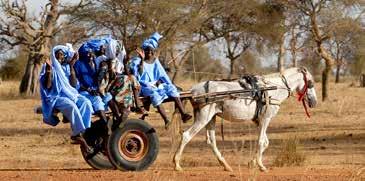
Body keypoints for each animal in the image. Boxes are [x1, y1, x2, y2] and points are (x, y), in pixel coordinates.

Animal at [173, 67, 316, 172]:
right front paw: (261, 166)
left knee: (211, 141)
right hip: (203, 117)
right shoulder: (266, 118)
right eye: (310, 83)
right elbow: (261, 141)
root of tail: (193, 90)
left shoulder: (258, 121)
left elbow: (266, 142)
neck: (273, 90)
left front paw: (252, 163)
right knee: (186, 135)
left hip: (211, 118)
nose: (314, 102)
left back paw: (225, 165)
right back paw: (177, 164)